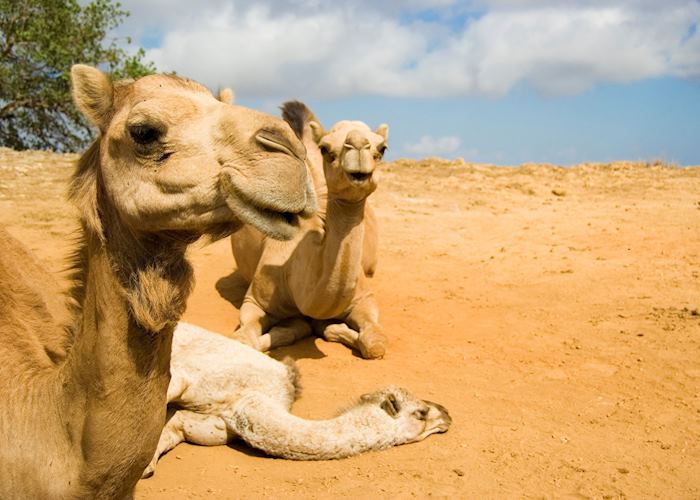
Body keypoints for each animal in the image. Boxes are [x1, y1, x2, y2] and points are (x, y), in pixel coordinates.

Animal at [232, 100, 392, 360]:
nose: (357, 144)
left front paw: (334, 328)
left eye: (383, 148)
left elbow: (375, 343)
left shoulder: (364, 298)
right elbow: (245, 340)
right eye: (326, 148)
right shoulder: (254, 300)